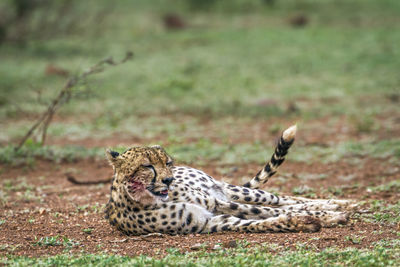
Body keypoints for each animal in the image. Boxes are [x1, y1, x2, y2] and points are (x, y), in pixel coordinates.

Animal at [104, 125, 354, 234]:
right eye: (147, 166)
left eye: (167, 163)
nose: (169, 180)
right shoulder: (208, 221)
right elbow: (259, 221)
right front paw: (303, 222)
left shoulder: (215, 202)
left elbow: (268, 210)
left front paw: (328, 214)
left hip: (233, 190)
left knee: (281, 199)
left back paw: (338, 203)